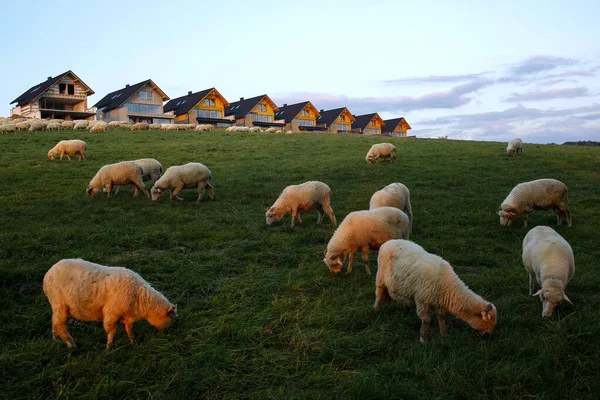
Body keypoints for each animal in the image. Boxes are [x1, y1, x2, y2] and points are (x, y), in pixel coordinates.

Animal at [42, 258, 176, 348]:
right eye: (169, 318)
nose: (165, 334)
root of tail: (48, 273)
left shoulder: (126, 316)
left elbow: (129, 329)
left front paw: (133, 342)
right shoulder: (111, 314)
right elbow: (111, 332)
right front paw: (109, 348)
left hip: (56, 306)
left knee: (54, 321)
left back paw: (55, 339)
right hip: (60, 304)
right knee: (60, 325)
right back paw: (71, 344)